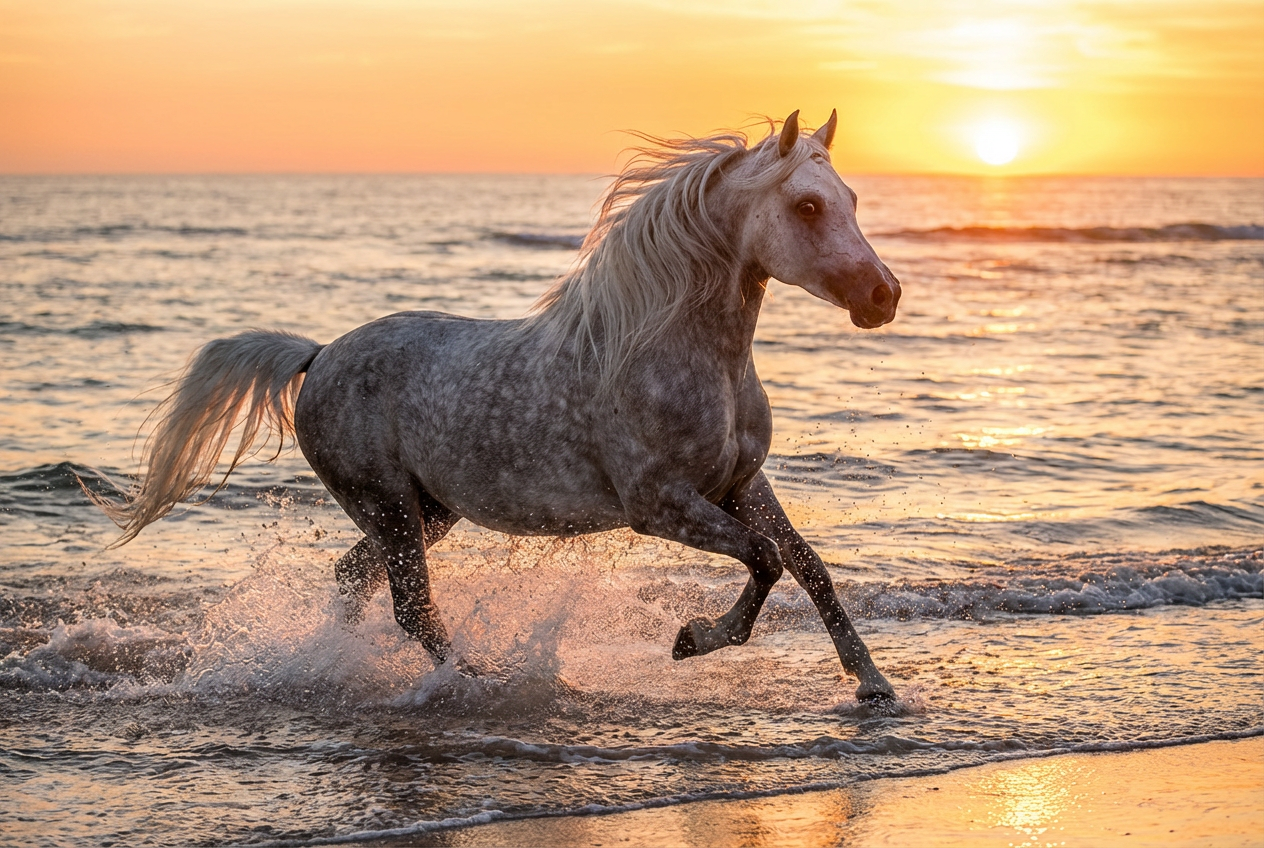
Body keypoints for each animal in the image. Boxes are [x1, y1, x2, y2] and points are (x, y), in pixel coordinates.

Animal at [89, 110, 902, 702]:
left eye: (853, 200)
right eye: (806, 205)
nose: (883, 296)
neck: (676, 351)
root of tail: (317, 356)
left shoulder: (739, 484)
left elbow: (808, 567)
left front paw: (874, 686)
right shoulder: (660, 505)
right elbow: (765, 559)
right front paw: (691, 640)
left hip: (424, 512)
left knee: (356, 581)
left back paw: (342, 665)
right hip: (388, 504)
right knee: (411, 607)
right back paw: (480, 680)